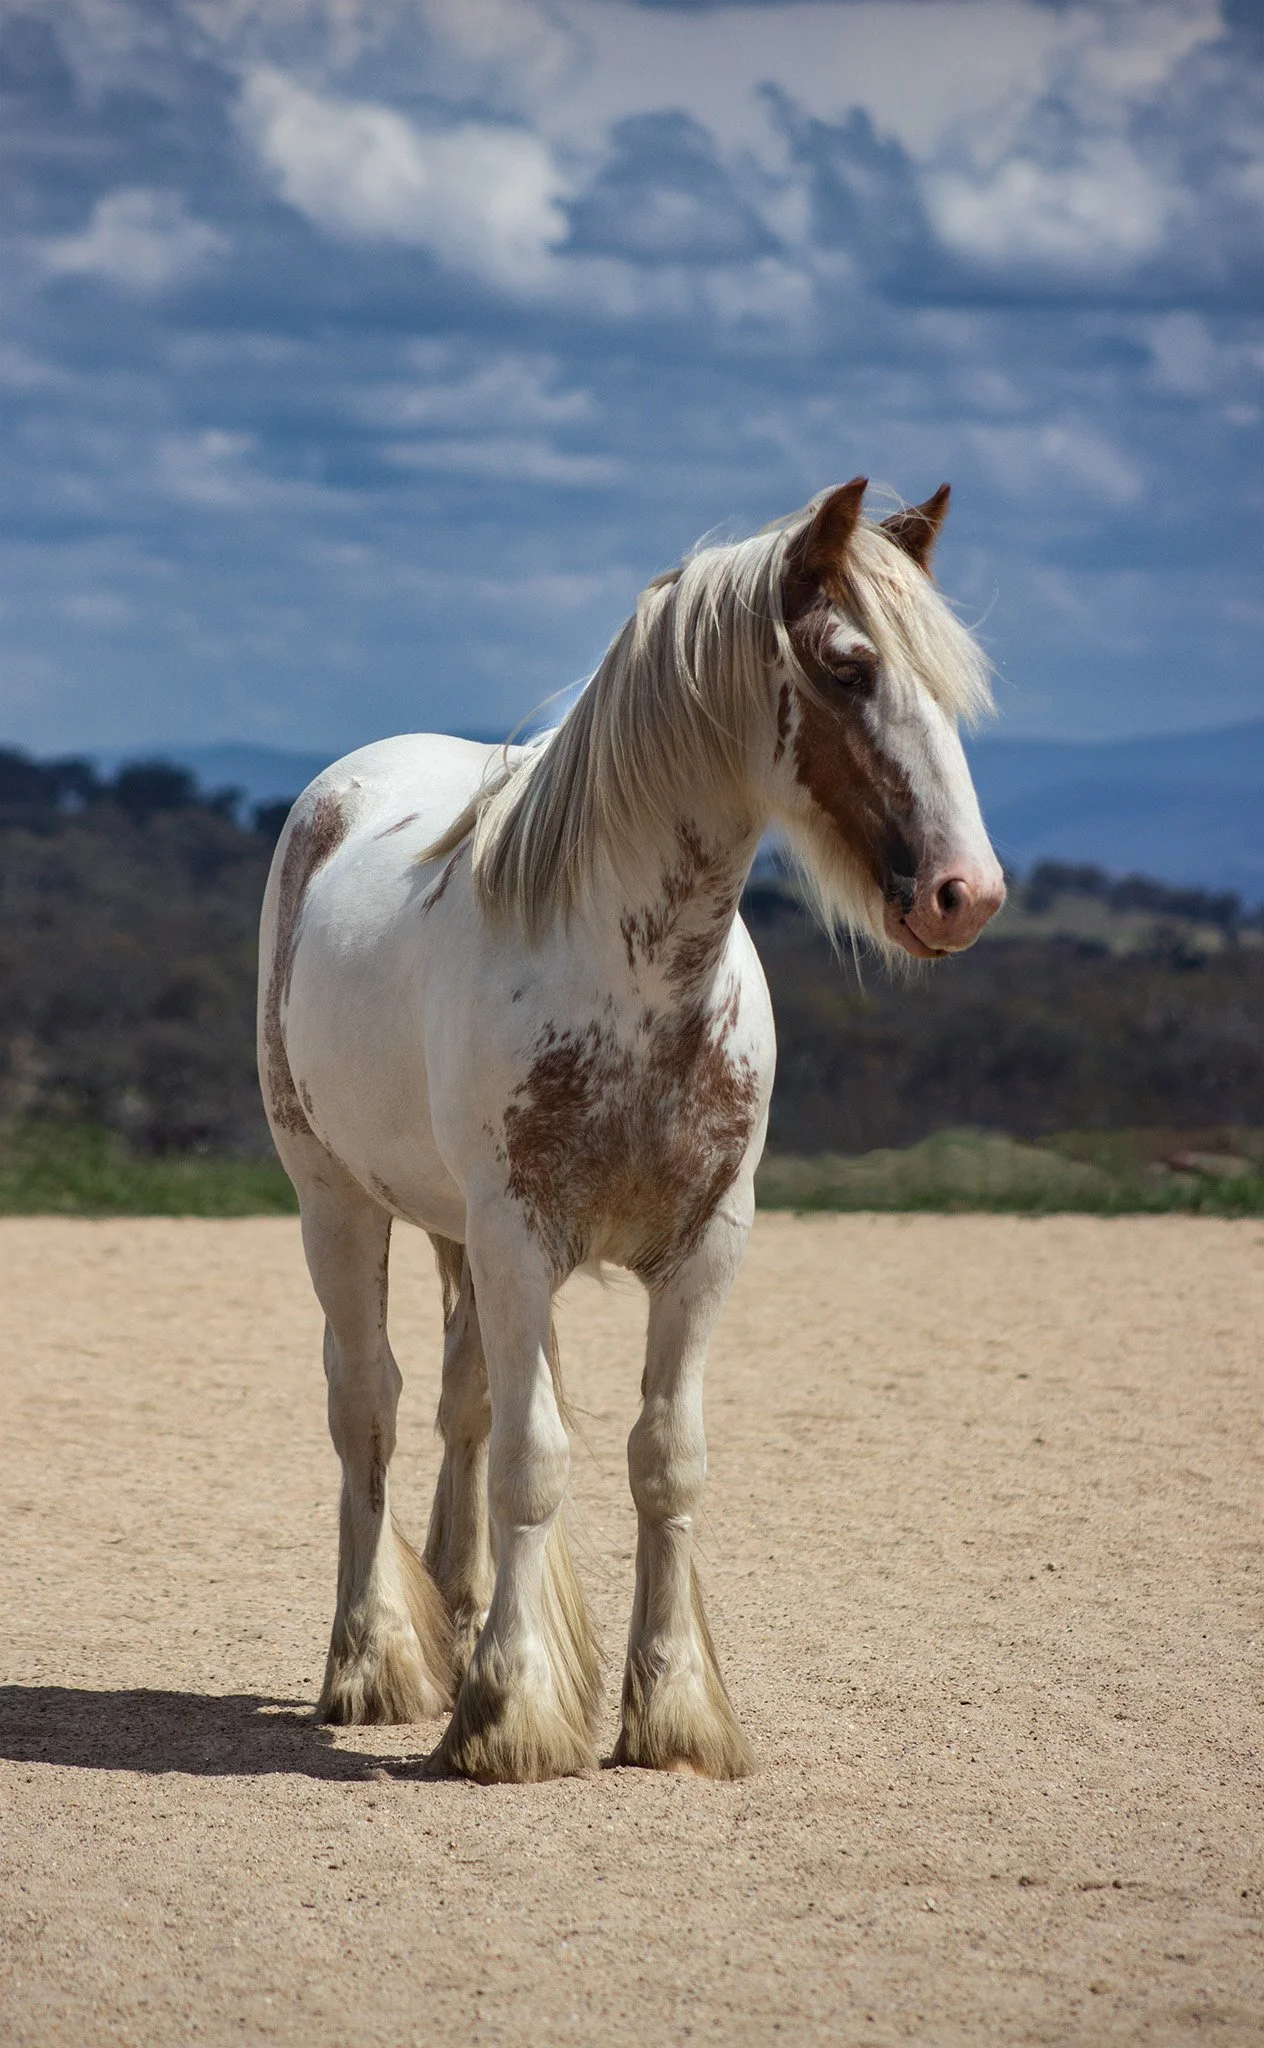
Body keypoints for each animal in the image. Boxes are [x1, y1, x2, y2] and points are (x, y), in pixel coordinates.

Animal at [257, 477, 1005, 1784]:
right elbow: (535, 1457)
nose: (966, 893)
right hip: (336, 1205)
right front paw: (509, 1711)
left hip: (453, 1232)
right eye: (849, 665)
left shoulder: (705, 1245)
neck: (635, 980)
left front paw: (669, 1709)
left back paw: (456, 1611)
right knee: (369, 1408)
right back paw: (374, 1659)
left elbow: (662, 1459)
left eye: (947, 683)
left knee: (457, 1405)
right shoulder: (517, 1237)